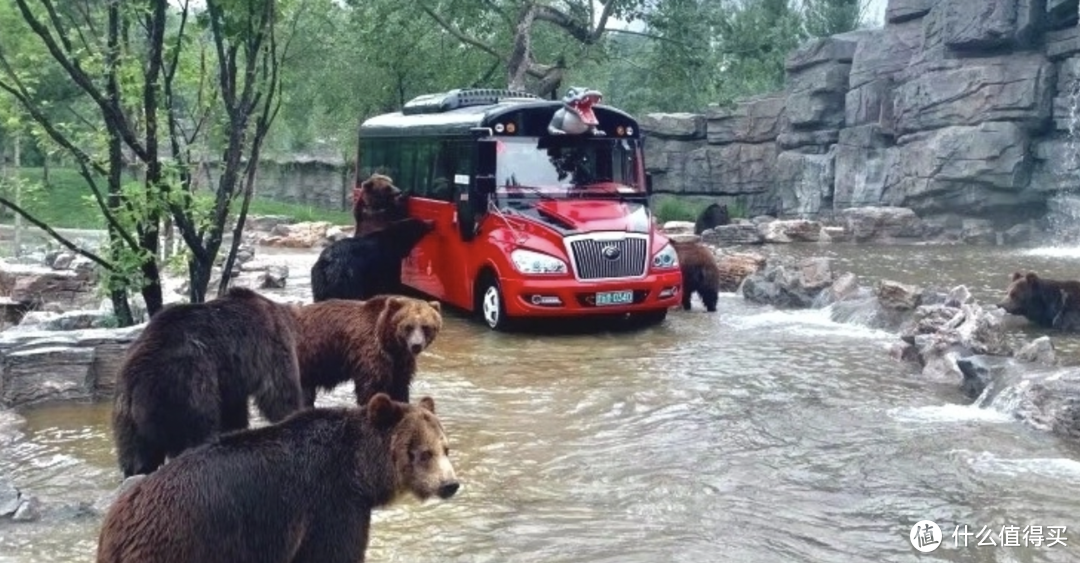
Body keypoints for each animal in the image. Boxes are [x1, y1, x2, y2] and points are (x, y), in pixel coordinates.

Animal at [96, 391, 460, 561]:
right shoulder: (330, 504)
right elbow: (333, 552)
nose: (451, 484)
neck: (358, 470)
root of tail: (119, 520)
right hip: (185, 544)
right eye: (423, 452)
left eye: (446, 448)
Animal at [111, 287, 304, 475]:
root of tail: (134, 379)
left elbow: (234, 412)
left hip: (127, 417)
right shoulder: (270, 345)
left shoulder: (229, 380)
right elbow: (278, 393)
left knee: (137, 456)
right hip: (184, 386)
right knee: (196, 431)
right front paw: (290, 414)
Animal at [295, 293, 442, 408]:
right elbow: (371, 388)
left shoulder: (400, 362)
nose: (416, 345)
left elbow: (400, 387)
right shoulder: (370, 352)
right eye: (408, 326)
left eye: (425, 326)